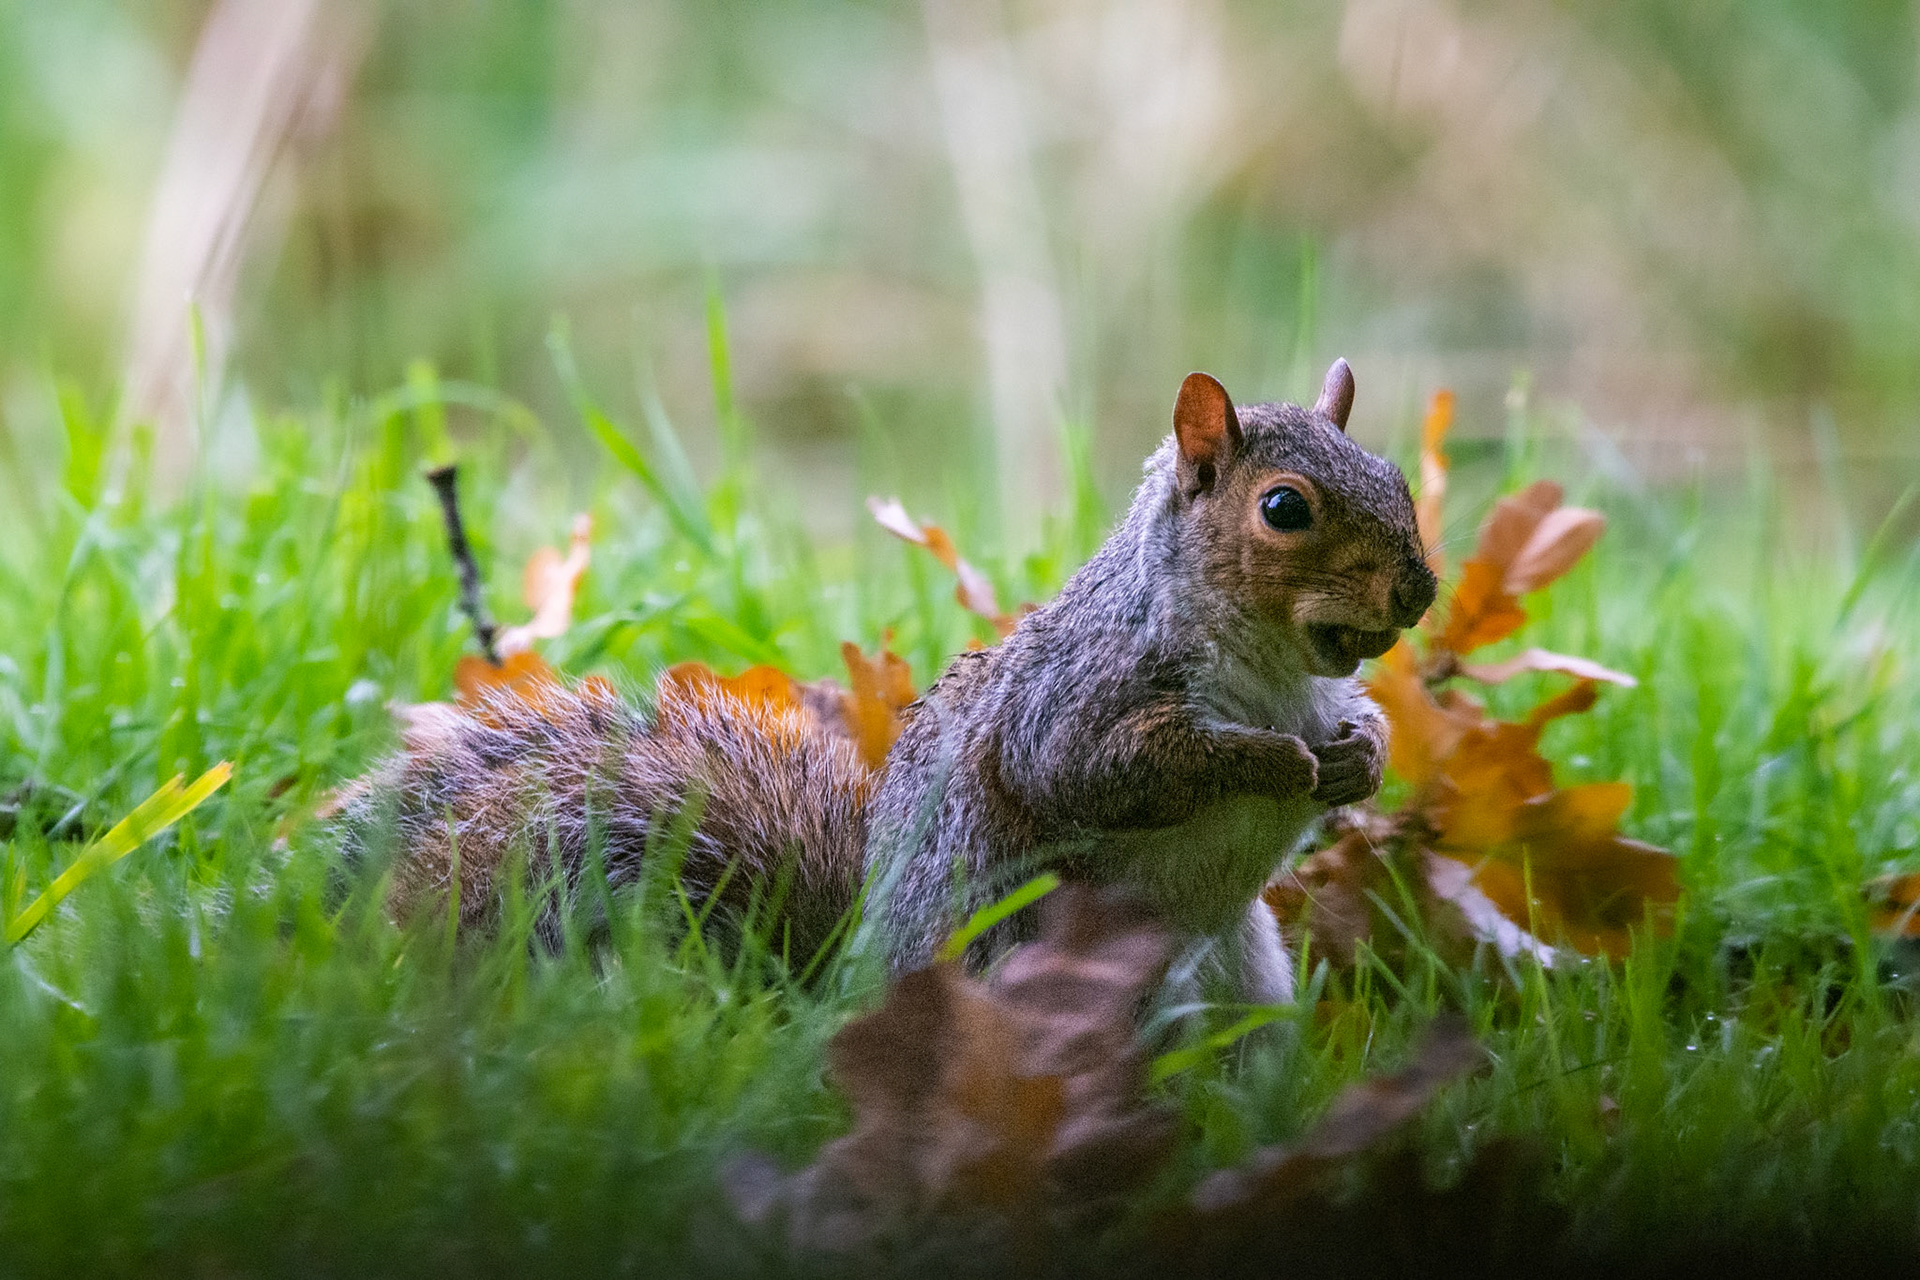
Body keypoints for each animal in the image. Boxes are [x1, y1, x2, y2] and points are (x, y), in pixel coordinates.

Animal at [331, 359, 1435, 1001]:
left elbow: (1357, 730)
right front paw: (1272, 762)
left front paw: (1360, 756)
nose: (1419, 590)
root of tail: (854, 993)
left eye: (1396, 478)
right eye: (1284, 507)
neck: (1274, 665)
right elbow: (1098, 769)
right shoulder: (1079, 696)